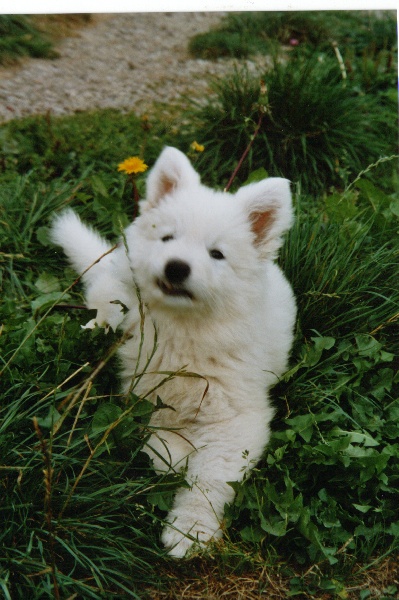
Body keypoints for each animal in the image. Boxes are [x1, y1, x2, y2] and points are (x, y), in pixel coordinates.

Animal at [51, 148, 296, 560]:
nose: (176, 267)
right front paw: (175, 460)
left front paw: (191, 529)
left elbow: (209, 475)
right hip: (115, 295)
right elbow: (164, 443)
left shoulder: (237, 419)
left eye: (217, 254)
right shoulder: (144, 394)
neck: (184, 328)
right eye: (167, 238)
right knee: (102, 299)